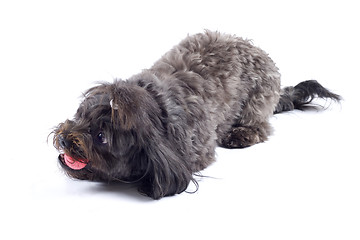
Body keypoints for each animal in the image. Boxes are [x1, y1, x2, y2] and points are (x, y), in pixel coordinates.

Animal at [51, 30, 340, 199]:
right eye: (80, 115)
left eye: (101, 136)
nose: (64, 138)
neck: (158, 109)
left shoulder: (196, 150)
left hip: (259, 99)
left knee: (260, 125)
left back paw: (242, 134)